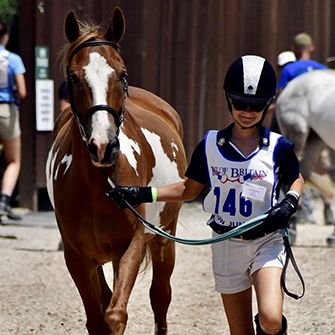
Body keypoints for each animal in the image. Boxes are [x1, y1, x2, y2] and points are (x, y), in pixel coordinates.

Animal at [45, 7, 186, 335]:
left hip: (164, 239)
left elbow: (115, 315)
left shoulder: (131, 246)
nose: (102, 145)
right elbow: (97, 318)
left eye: (121, 74)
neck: (99, 184)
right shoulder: (77, 257)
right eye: (74, 77)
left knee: (160, 296)